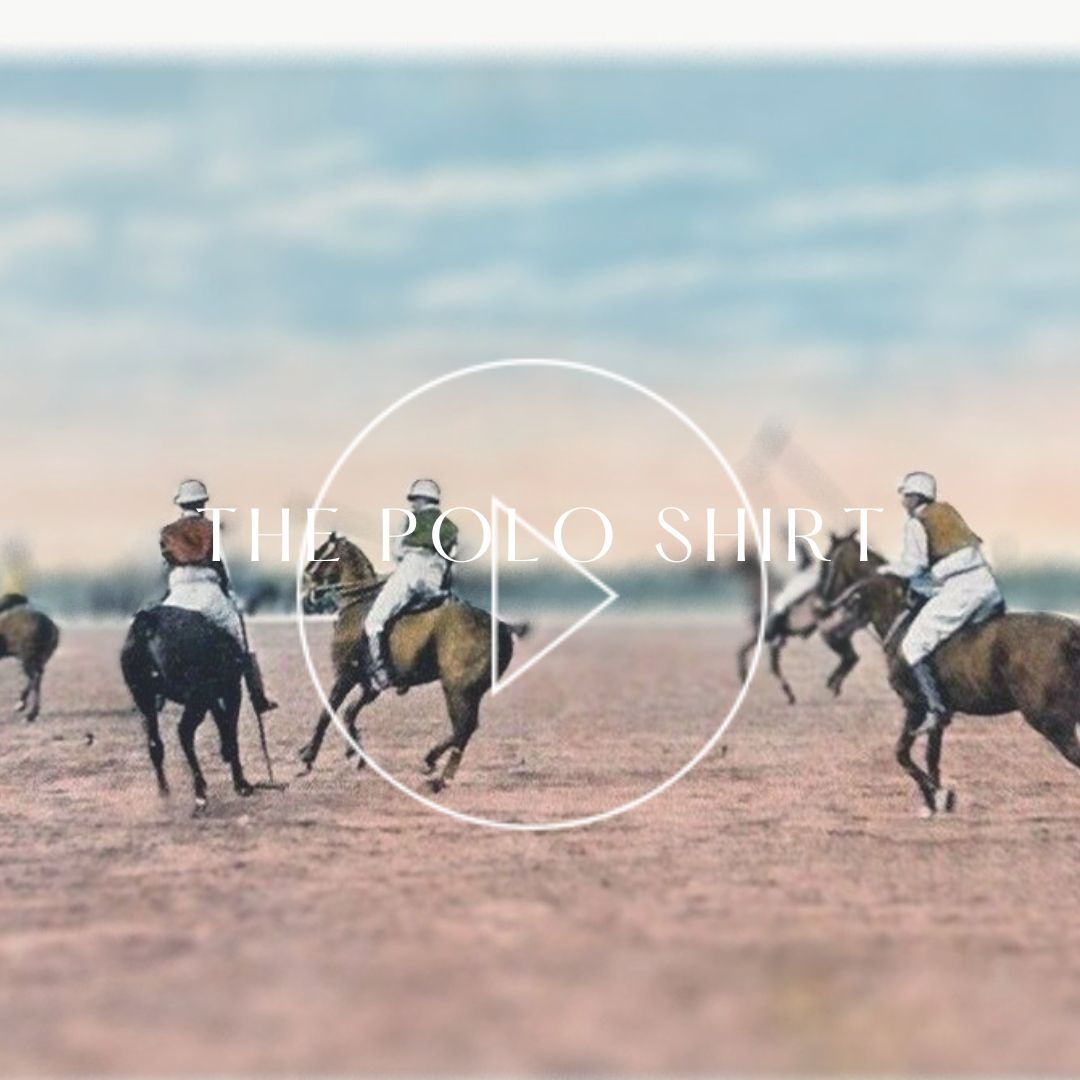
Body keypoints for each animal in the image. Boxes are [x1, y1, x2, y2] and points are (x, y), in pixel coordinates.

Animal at [120, 606, 253, 812]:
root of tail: (148, 622)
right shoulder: (231, 690)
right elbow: (230, 730)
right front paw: (241, 784)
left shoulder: (212, 696)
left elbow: (223, 723)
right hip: (196, 697)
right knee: (185, 732)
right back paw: (200, 792)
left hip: (144, 698)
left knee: (155, 744)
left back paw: (165, 791)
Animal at [297, 532, 528, 792]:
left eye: (319, 553)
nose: (306, 593)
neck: (358, 606)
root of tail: (503, 626)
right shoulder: (370, 685)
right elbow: (349, 712)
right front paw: (354, 753)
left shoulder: (346, 676)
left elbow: (327, 712)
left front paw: (309, 756)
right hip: (471, 691)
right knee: (466, 728)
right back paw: (432, 762)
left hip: (456, 689)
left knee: (463, 728)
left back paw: (439, 776)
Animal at [819, 533, 1080, 816]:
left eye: (828, 561)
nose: (822, 606)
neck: (901, 617)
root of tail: (1072, 633)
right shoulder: (937, 716)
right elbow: (931, 758)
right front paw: (936, 800)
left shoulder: (915, 706)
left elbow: (902, 753)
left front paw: (936, 796)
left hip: (1051, 721)